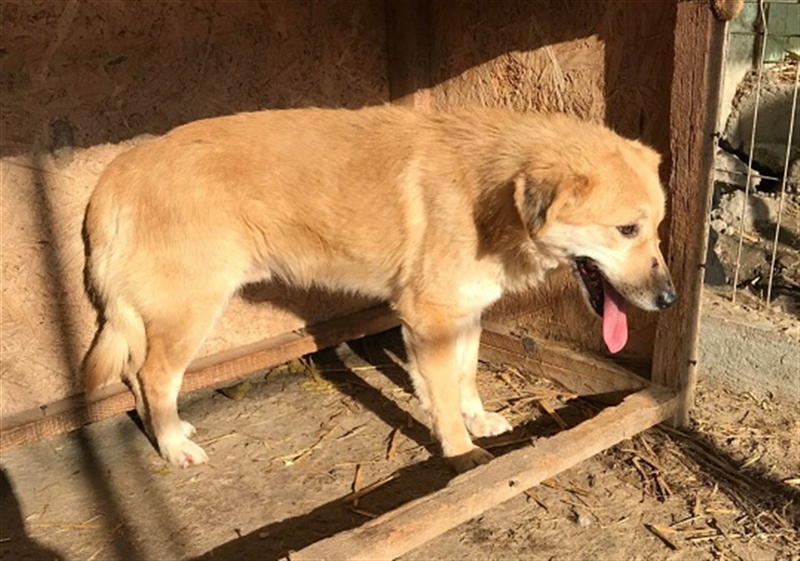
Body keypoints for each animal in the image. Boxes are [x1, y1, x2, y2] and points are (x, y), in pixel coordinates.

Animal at [82, 106, 676, 472]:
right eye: (627, 229)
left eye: (656, 228)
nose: (669, 300)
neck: (495, 198)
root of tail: (118, 171)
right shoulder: (428, 318)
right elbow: (443, 394)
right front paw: (460, 455)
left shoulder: (464, 313)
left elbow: (463, 377)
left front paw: (476, 419)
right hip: (191, 310)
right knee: (153, 375)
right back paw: (173, 446)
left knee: (136, 374)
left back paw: (170, 431)